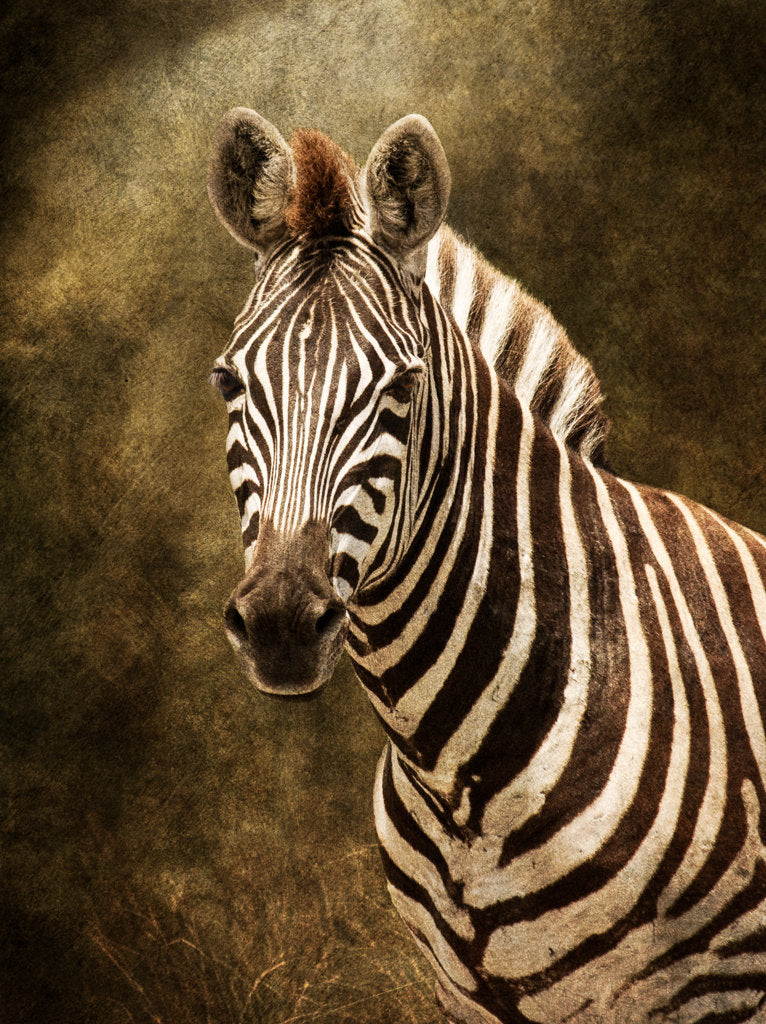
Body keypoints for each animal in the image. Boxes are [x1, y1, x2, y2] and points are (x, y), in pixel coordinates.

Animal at [206, 109, 766, 1023]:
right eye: (229, 382)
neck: (456, 774)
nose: (281, 625)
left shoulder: (717, 989)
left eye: (401, 389)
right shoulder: (463, 998)